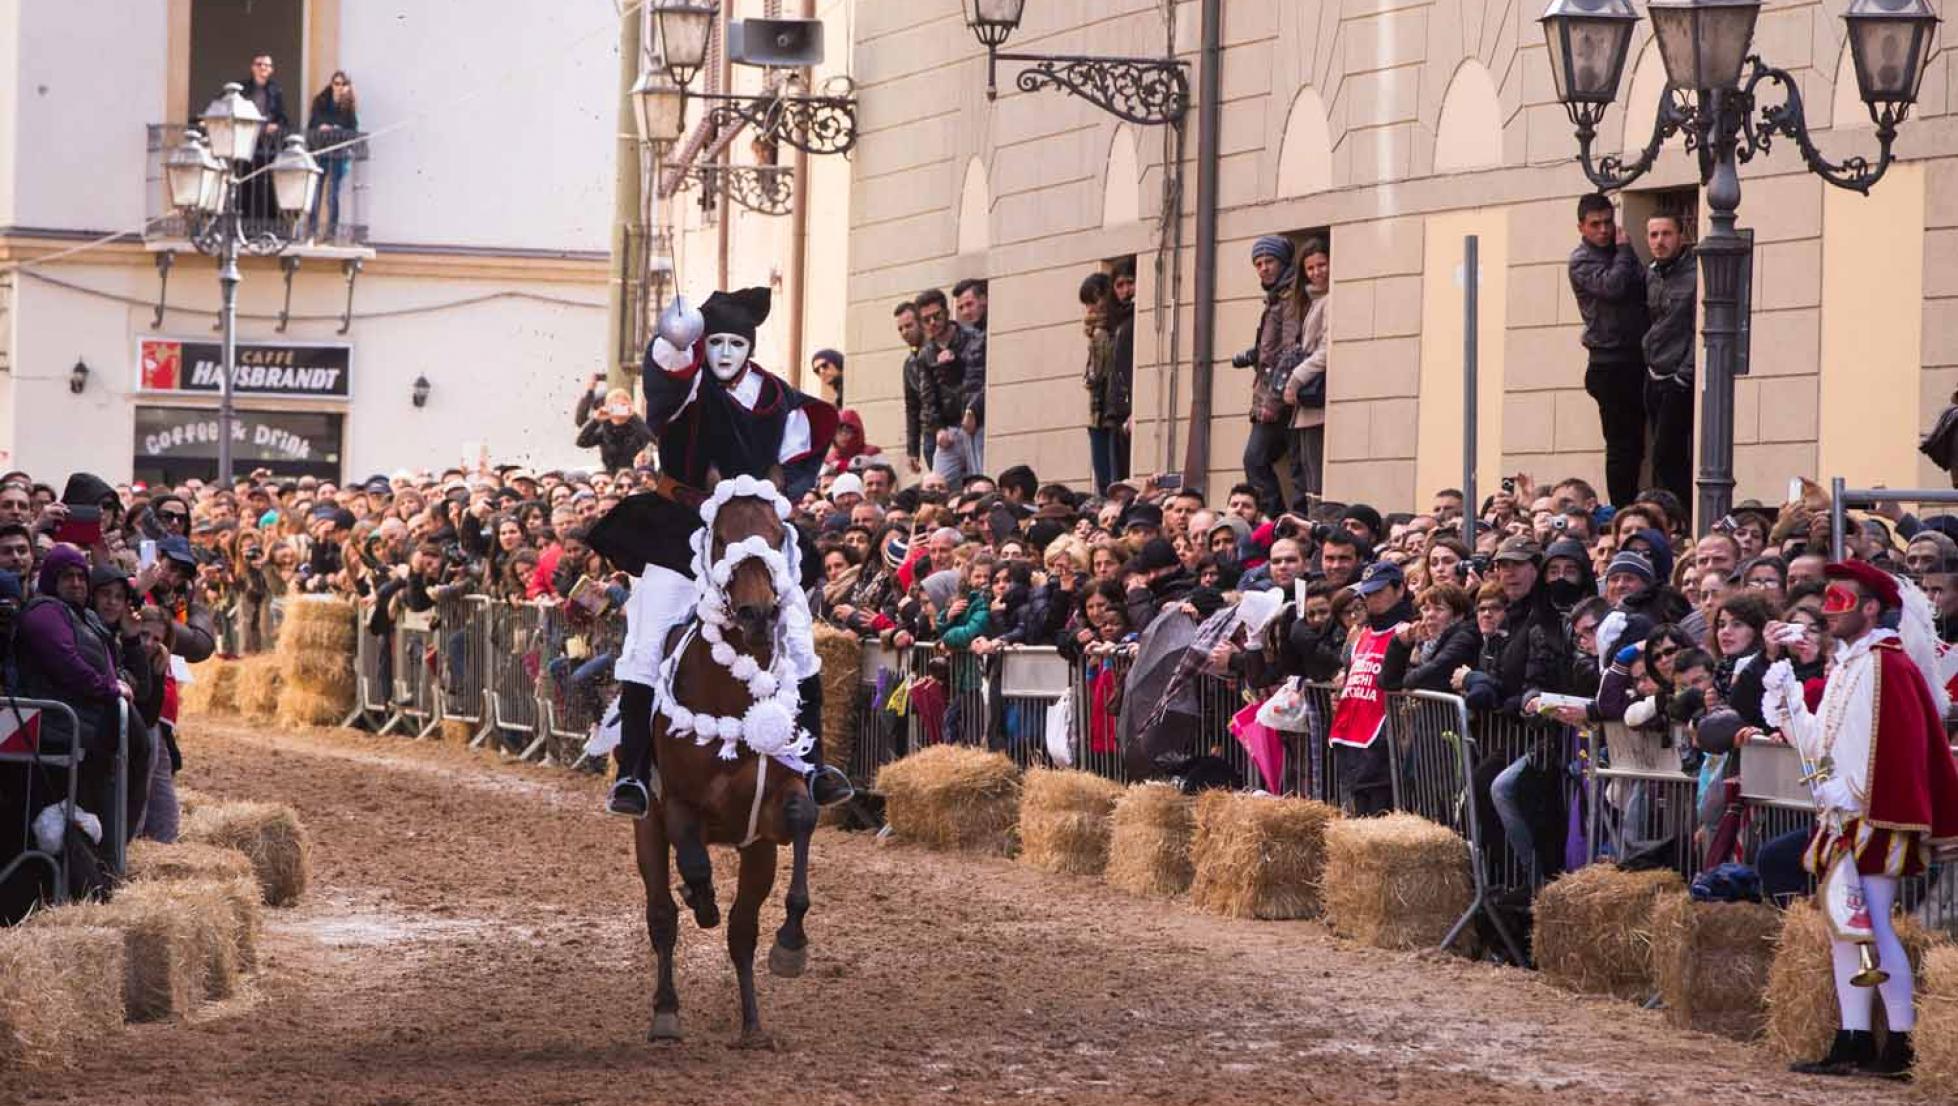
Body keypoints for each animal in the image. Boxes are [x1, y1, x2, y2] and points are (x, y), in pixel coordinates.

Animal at [634, 481, 818, 1041]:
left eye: (778, 536)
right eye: (721, 539)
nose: (759, 614)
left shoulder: (771, 818)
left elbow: (804, 817)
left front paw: (791, 942)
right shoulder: (676, 803)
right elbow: (692, 864)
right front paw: (700, 897)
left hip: (757, 853)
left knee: (741, 932)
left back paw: (752, 1024)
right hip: (645, 829)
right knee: (661, 916)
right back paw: (666, 1012)